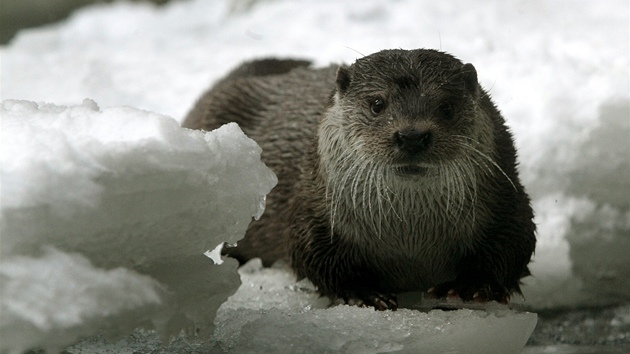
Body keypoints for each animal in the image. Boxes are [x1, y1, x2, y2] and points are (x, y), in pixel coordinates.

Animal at [183, 49, 540, 310]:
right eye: (377, 103)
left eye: (447, 106)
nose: (412, 135)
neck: (411, 241)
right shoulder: (314, 205)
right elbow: (310, 252)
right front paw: (364, 293)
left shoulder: (507, 198)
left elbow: (515, 241)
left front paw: (471, 285)